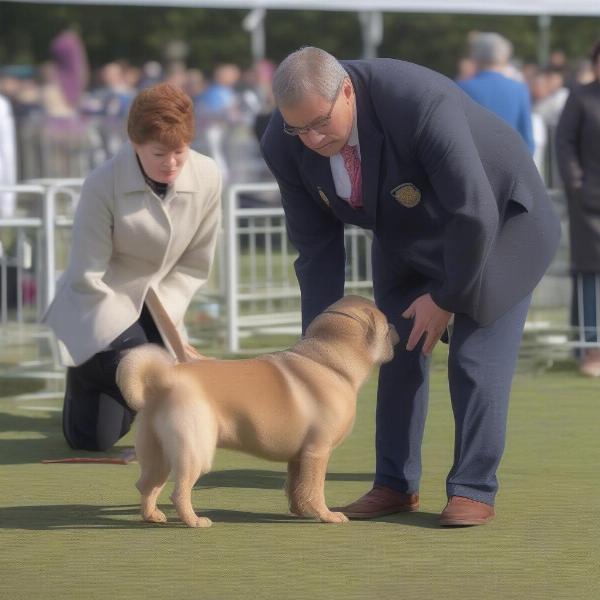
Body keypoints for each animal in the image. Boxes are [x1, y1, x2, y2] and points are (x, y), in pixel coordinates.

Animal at [116, 294, 398, 524]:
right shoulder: (317, 451)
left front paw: (300, 511)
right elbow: (314, 489)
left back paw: (152, 516)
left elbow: (296, 487)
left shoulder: (299, 457)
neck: (330, 363)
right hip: (195, 451)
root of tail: (164, 380)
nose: (396, 327)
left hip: (158, 455)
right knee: (178, 491)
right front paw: (326, 515)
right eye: (386, 323)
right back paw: (194, 521)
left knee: (146, 486)